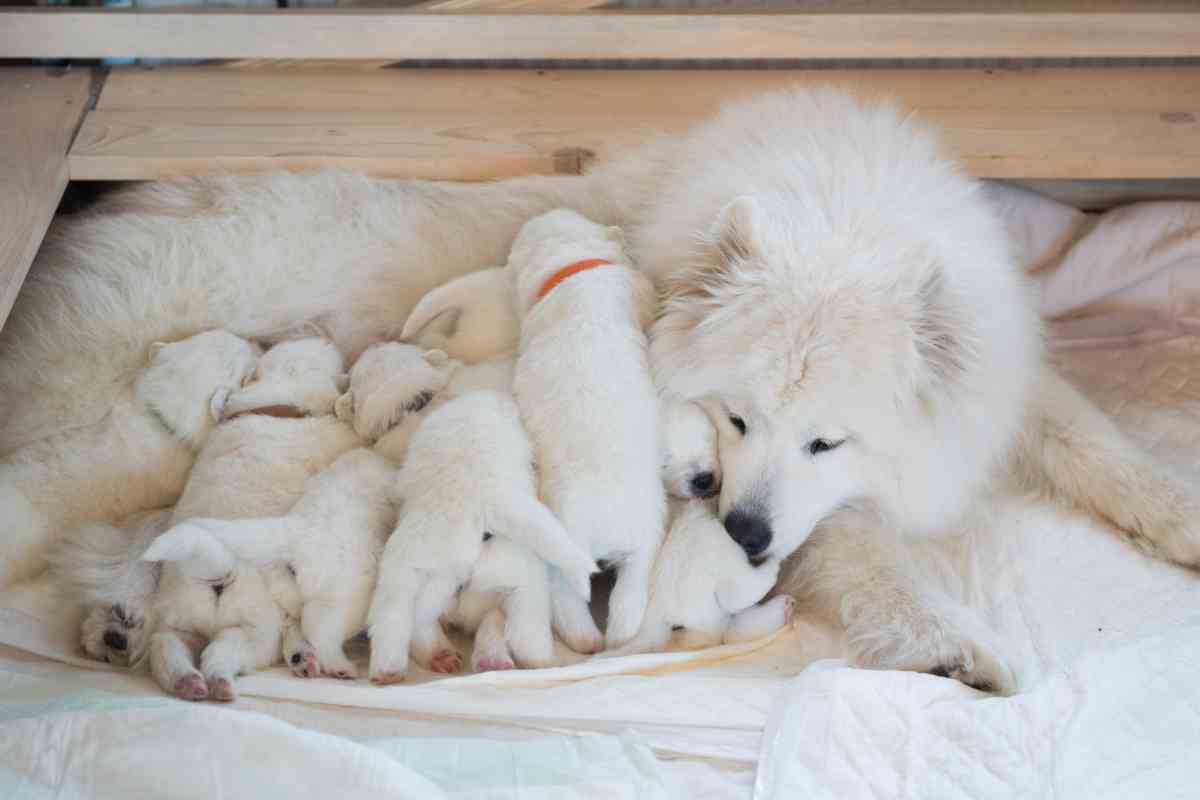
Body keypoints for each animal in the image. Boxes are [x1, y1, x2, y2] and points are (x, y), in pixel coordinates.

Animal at [138, 338, 357, 700]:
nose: (258, 341)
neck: (280, 402)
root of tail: (214, 566)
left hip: (178, 615)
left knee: (166, 645)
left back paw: (188, 681)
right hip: (255, 628)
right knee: (224, 649)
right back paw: (221, 682)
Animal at [362, 391, 592, 686]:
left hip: (401, 579)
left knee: (404, 625)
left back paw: (405, 665)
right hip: (526, 582)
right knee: (524, 636)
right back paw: (537, 663)